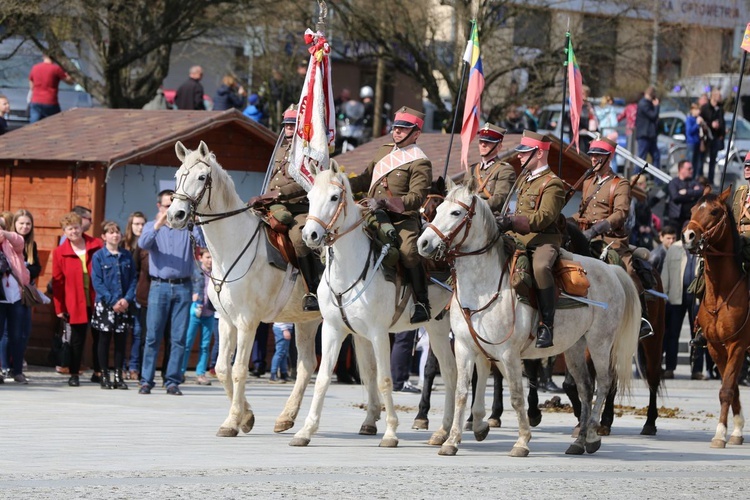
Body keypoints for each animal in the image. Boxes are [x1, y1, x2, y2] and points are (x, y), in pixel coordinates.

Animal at [169, 141, 382, 438]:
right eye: (178, 175)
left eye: (201, 177)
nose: (175, 215)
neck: (232, 246)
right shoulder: (226, 320)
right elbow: (222, 368)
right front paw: (246, 417)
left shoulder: (247, 322)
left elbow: (238, 369)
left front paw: (232, 421)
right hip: (308, 323)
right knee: (307, 366)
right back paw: (287, 417)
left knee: (369, 366)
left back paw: (370, 419)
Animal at [296, 168, 458, 450]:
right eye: (309, 197)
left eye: (334, 197)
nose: (310, 235)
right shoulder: (334, 330)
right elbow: (325, 377)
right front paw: (306, 430)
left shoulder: (378, 333)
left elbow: (383, 379)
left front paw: (391, 432)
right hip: (437, 328)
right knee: (449, 372)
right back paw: (443, 431)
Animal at [418, 185, 640, 458]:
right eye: (437, 210)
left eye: (456, 212)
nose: (423, 243)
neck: (482, 287)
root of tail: (612, 271)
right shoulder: (464, 348)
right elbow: (461, 392)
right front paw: (451, 441)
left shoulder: (508, 353)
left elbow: (516, 395)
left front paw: (522, 442)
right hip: (575, 346)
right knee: (586, 387)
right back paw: (578, 442)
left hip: (600, 343)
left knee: (605, 382)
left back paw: (591, 435)